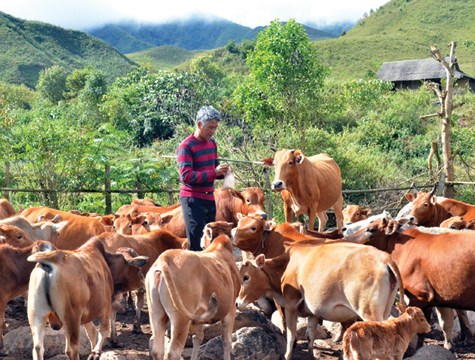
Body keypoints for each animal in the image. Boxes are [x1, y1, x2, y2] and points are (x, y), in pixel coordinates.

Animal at [238, 236, 406, 360]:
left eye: (245, 277)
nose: (237, 303)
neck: (287, 264)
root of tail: (384, 258)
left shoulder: (291, 304)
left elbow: (291, 334)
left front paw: (287, 355)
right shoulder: (313, 311)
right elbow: (310, 334)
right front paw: (311, 355)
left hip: (369, 312)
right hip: (384, 311)